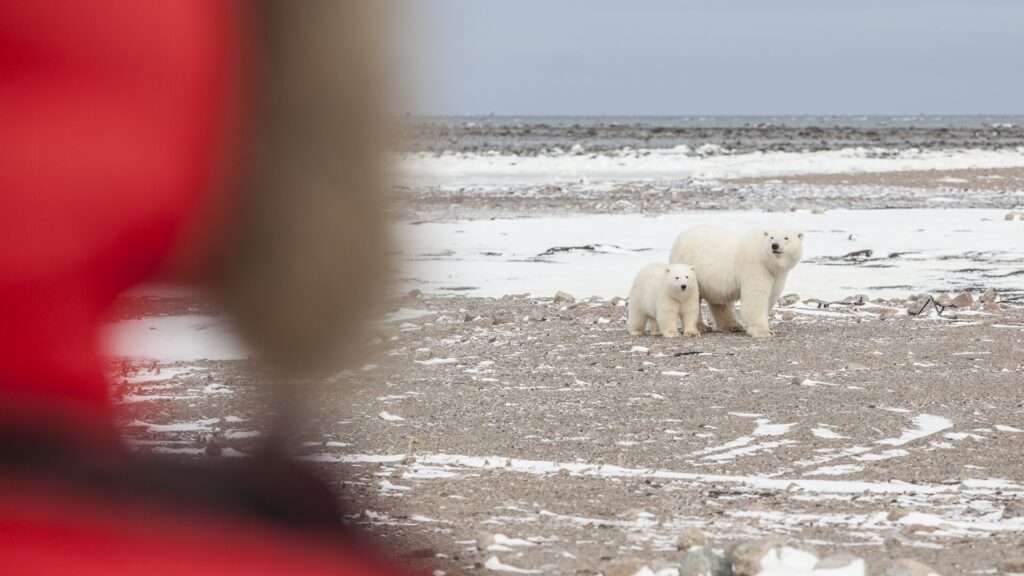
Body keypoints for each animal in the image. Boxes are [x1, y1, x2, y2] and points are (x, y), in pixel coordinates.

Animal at [669, 226, 803, 338]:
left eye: (786, 237)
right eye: (771, 237)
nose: (775, 245)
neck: (765, 258)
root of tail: (681, 236)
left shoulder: (777, 275)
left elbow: (771, 296)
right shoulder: (755, 266)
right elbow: (756, 297)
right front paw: (763, 332)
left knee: (719, 301)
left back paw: (733, 325)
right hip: (688, 267)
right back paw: (701, 327)